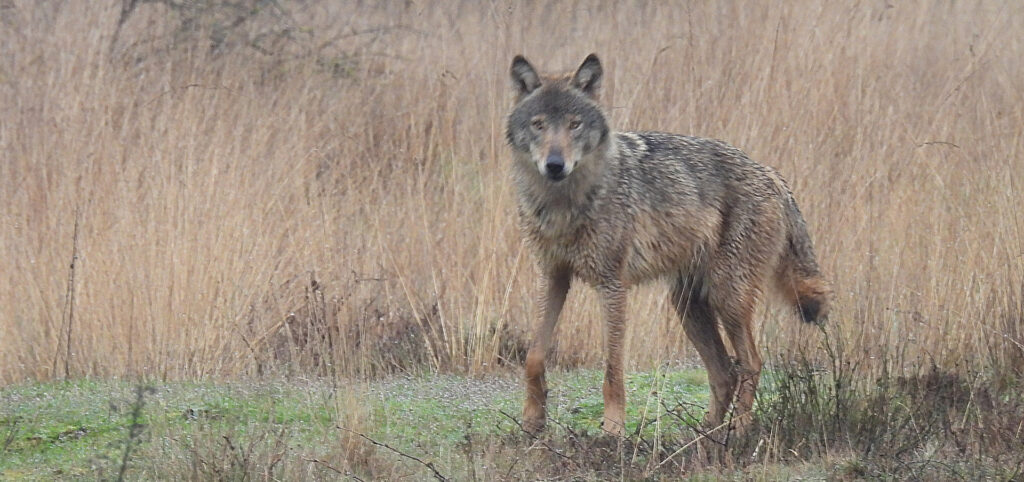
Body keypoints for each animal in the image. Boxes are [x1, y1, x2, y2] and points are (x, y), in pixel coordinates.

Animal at [506, 54, 831, 438]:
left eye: (574, 125)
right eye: (539, 125)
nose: (555, 165)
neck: (564, 205)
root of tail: (772, 174)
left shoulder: (612, 286)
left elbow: (612, 369)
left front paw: (612, 431)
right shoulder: (553, 277)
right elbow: (534, 356)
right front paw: (531, 422)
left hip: (727, 297)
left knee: (751, 361)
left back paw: (737, 432)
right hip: (688, 305)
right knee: (724, 370)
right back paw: (705, 435)